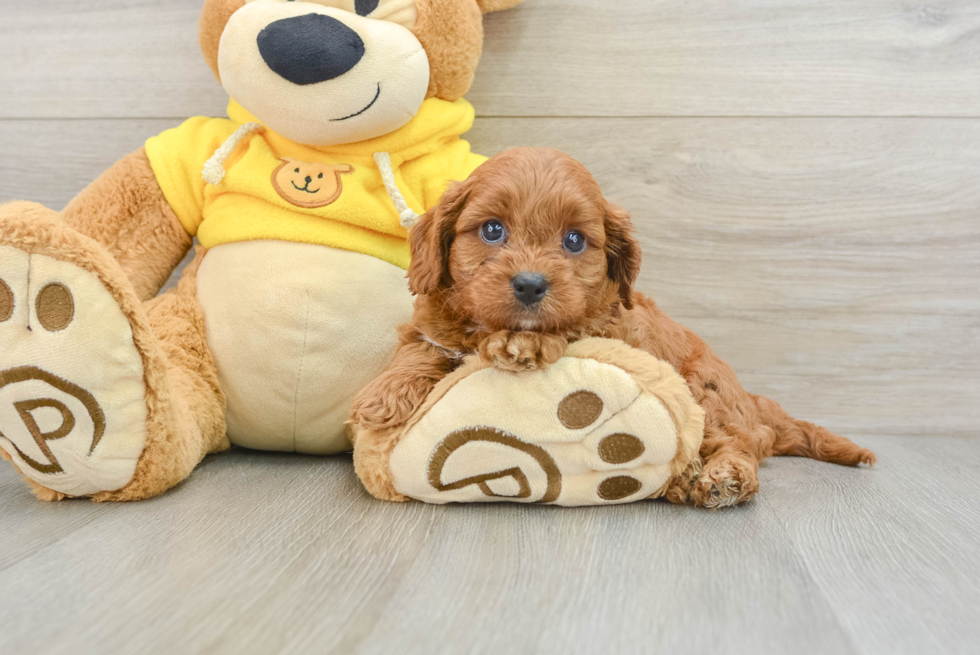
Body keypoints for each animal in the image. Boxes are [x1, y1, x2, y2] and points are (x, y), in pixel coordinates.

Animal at [350, 147, 872, 508]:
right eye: (492, 230)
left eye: (574, 240)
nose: (530, 285)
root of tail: (753, 400)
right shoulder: (435, 320)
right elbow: (422, 344)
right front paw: (382, 396)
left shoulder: (608, 327)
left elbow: (567, 327)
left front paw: (522, 341)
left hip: (708, 396)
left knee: (741, 442)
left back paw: (720, 480)